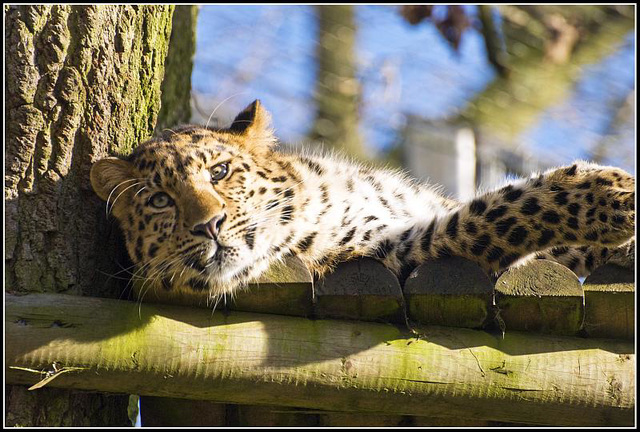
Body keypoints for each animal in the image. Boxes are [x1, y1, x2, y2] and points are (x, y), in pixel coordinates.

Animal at [90, 100, 636, 304]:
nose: (209, 225)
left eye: (219, 172)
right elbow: (494, 213)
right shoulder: (395, 251)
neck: (316, 194)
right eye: (160, 201)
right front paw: (614, 195)